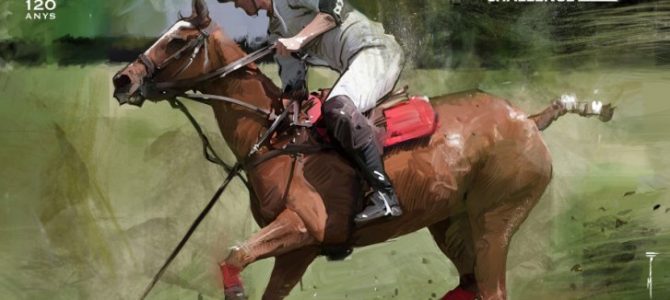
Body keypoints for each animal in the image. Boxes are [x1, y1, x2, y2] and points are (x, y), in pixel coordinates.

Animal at [113, 1, 616, 298]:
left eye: (179, 40)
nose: (123, 80)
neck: (275, 135)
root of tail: (527, 120)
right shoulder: (298, 250)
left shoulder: (303, 227)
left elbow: (234, 254)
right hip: (450, 224)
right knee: (469, 283)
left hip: (496, 221)